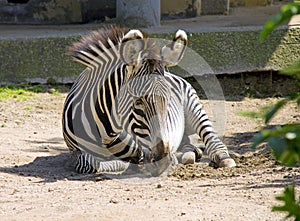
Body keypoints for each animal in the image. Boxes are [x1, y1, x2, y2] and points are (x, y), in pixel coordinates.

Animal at [62, 24, 237, 176]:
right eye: (138, 102)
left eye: (168, 99)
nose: (162, 158)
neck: (106, 131)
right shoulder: (76, 151)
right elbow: (90, 164)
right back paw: (188, 153)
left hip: (193, 106)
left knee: (210, 135)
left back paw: (222, 157)